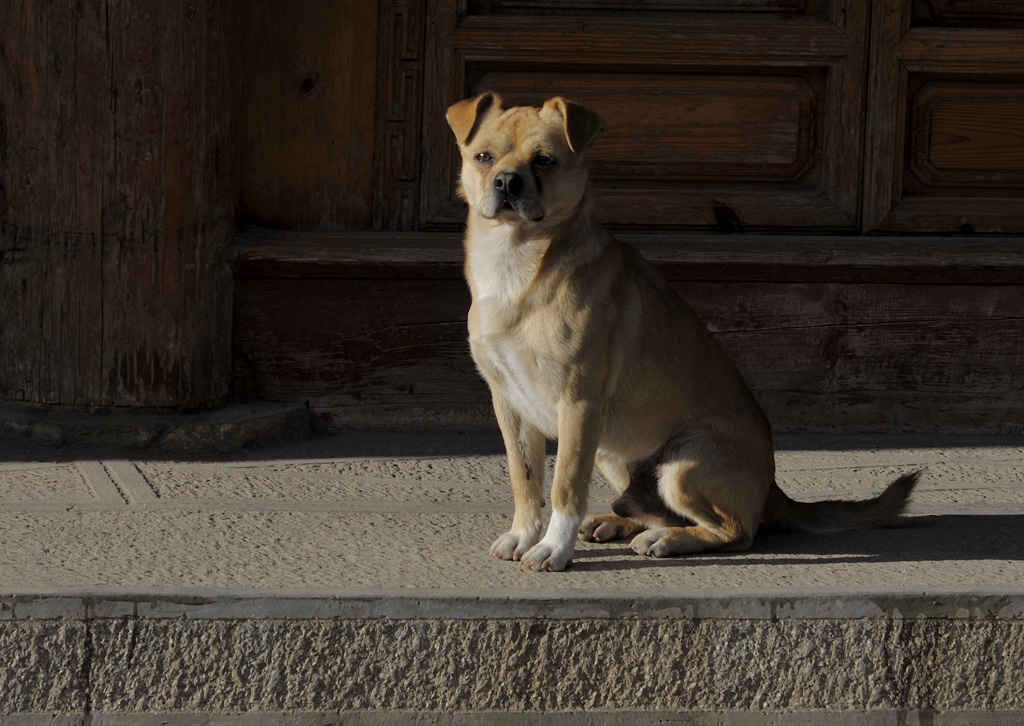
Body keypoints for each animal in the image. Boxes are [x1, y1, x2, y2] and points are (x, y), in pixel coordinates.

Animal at [444, 92, 917, 573]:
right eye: (483, 157)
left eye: (544, 160)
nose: (506, 182)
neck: (516, 263)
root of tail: (772, 489)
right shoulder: (511, 406)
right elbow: (524, 480)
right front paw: (524, 534)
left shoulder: (578, 406)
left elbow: (565, 488)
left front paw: (554, 548)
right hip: (613, 453)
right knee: (653, 509)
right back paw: (619, 522)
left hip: (681, 467)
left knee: (735, 532)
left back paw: (667, 540)